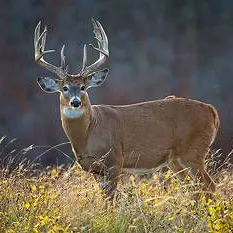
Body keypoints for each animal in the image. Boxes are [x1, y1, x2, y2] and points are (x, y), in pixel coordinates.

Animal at [33, 19, 219, 199]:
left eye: (83, 87)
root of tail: (212, 111)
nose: (76, 102)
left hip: (193, 151)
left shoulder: (114, 161)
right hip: (175, 160)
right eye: (65, 88)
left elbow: (110, 200)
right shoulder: (95, 170)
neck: (88, 134)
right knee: (194, 189)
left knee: (209, 186)